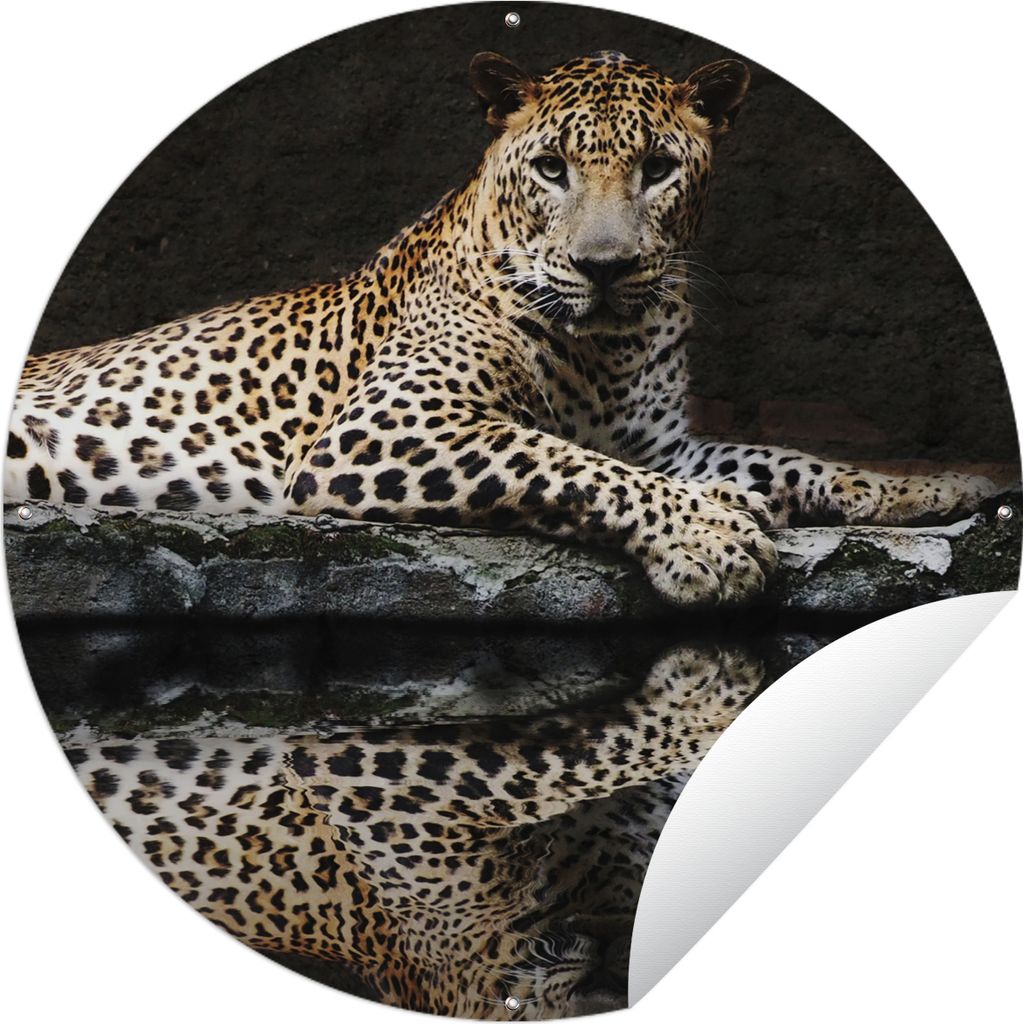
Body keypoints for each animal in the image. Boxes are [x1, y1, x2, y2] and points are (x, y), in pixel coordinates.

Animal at [4, 50, 995, 607]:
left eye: (659, 168)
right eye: (552, 168)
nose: (604, 267)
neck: (608, 345)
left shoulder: (662, 444)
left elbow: (787, 459)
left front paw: (931, 487)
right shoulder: (384, 429)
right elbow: (563, 462)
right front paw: (709, 536)